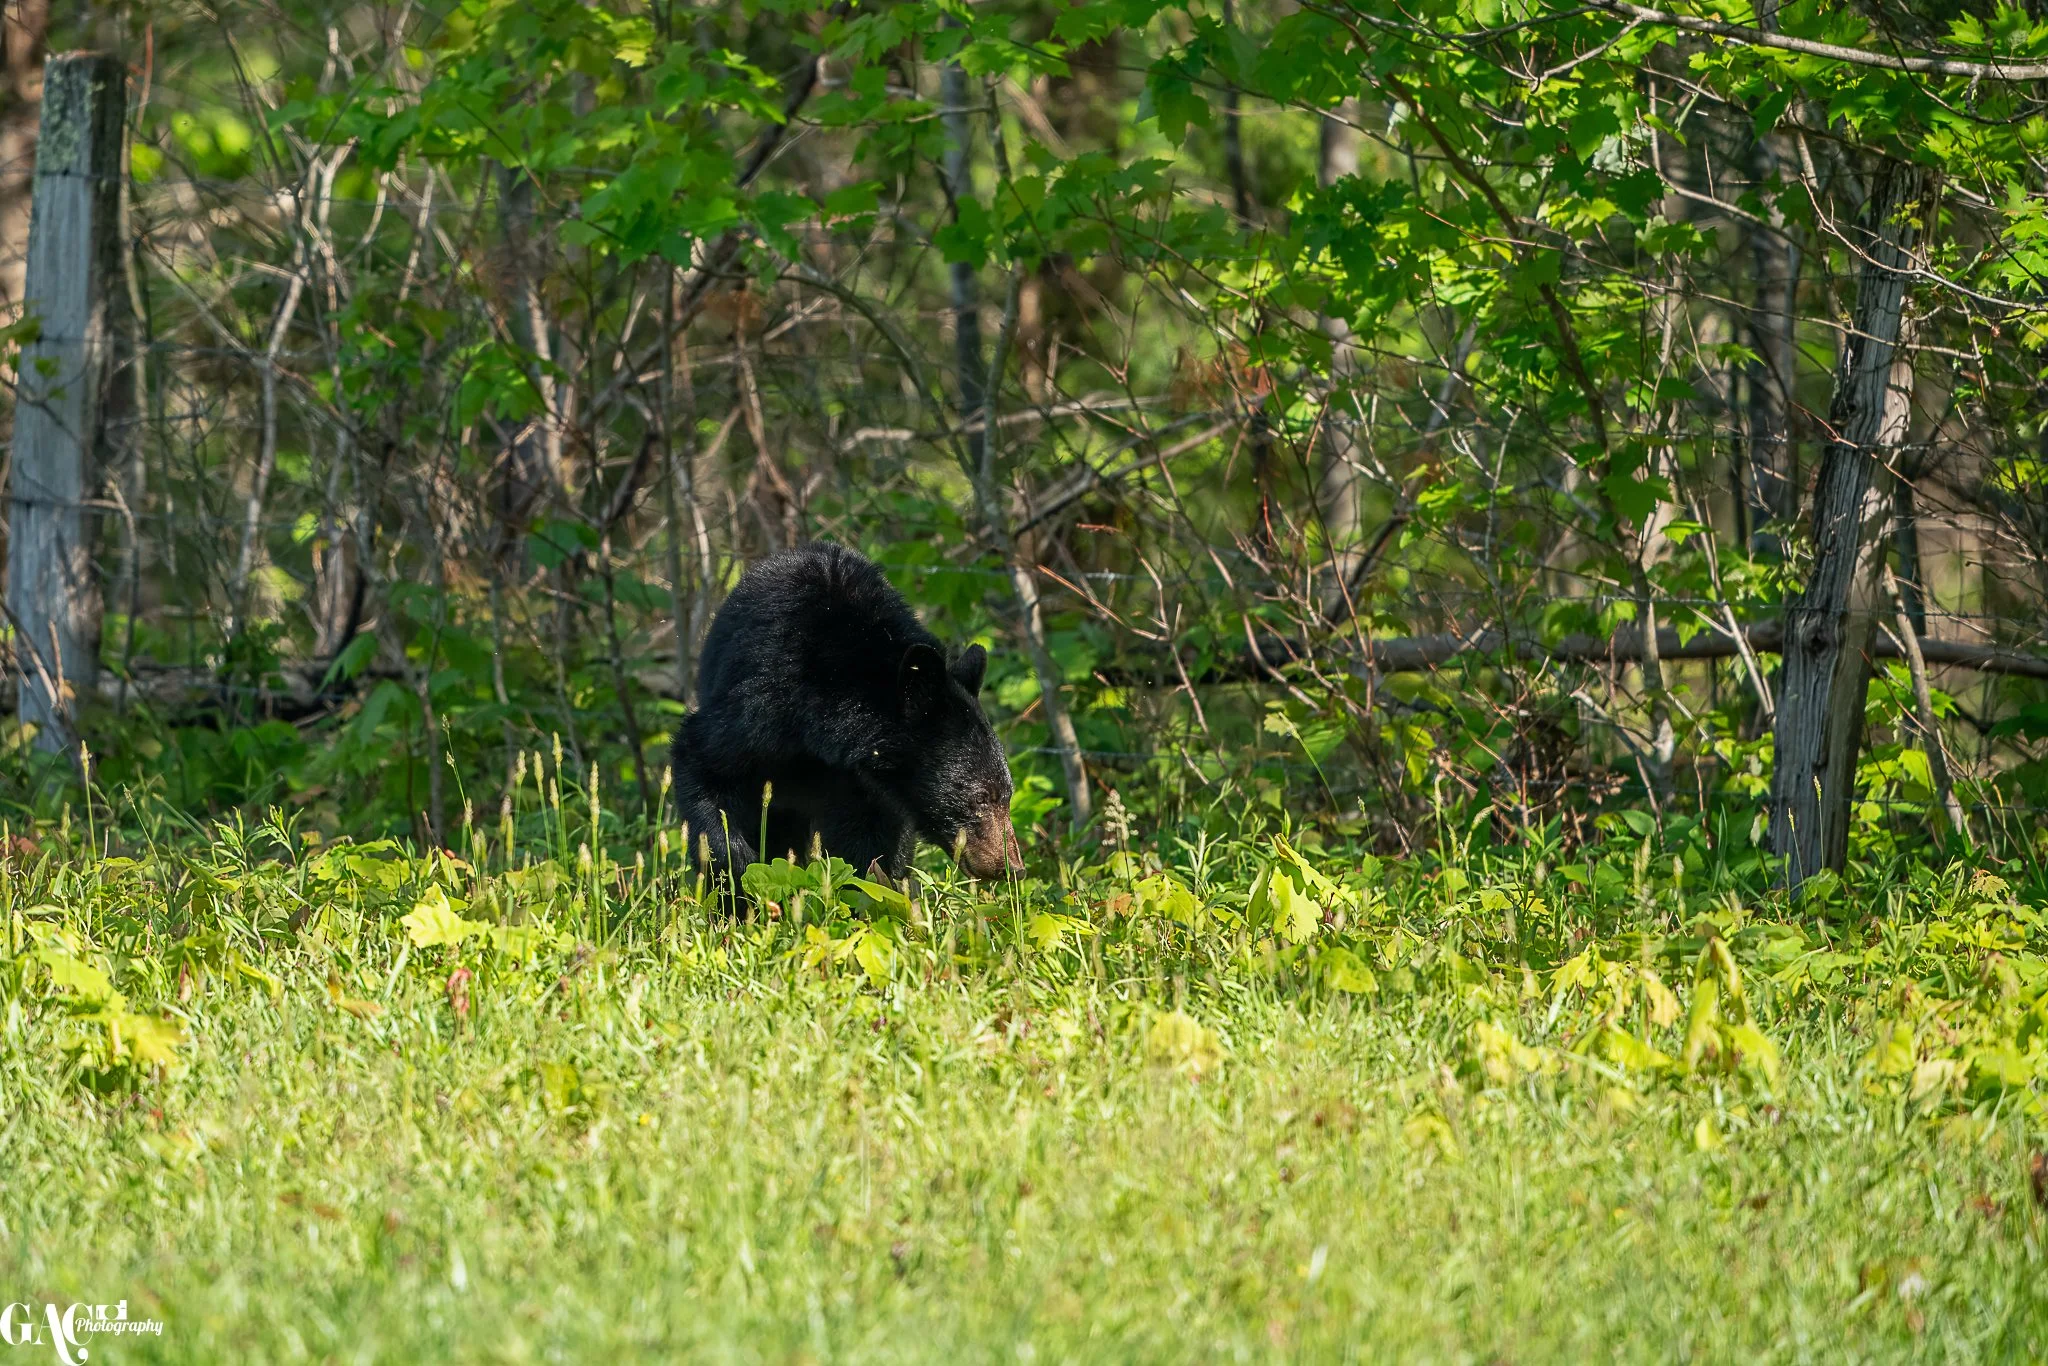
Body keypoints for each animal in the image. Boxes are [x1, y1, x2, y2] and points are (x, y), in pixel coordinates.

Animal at [669, 541, 1024, 890]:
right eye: (980, 797)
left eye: (1007, 794)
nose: (1012, 867)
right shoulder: (758, 707)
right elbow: (701, 764)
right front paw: (736, 871)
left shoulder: (862, 790)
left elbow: (870, 853)